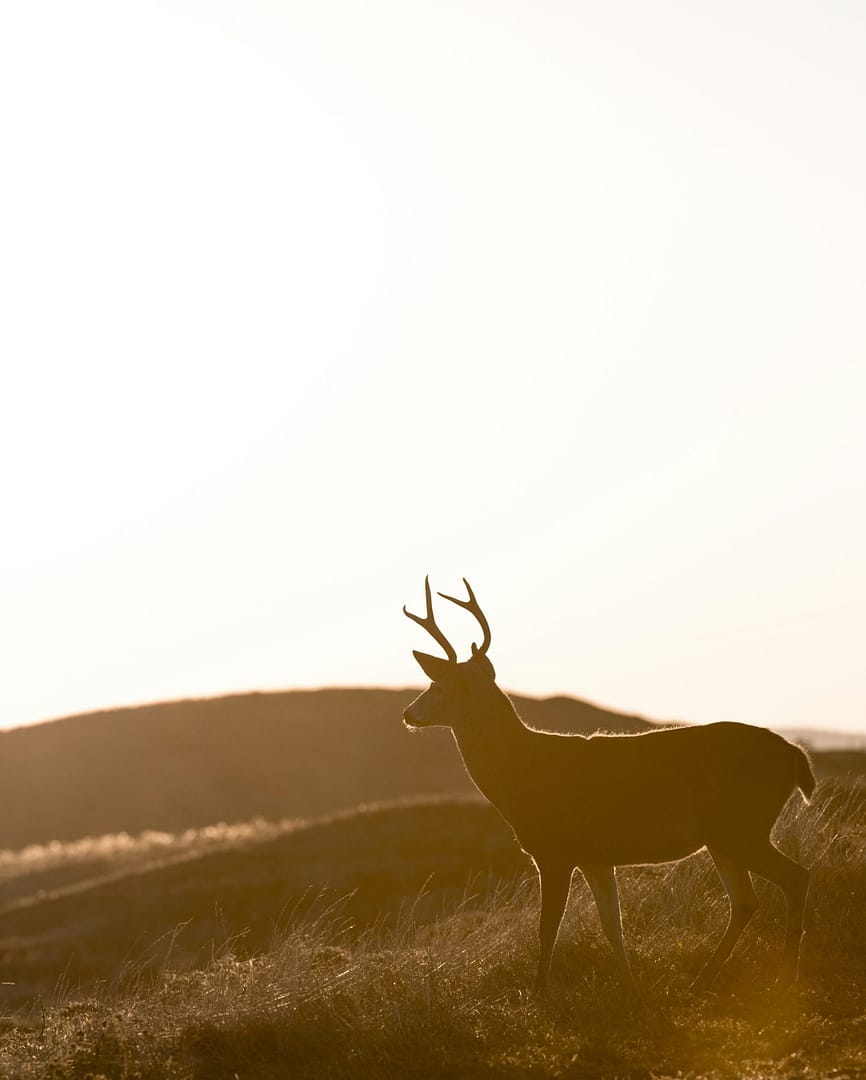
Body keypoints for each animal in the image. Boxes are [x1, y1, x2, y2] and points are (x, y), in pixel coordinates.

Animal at [402, 577, 814, 994]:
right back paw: (702, 980)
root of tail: (795, 755)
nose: (407, 713)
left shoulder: (555, 850)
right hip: (724, 836)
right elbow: (612, 925)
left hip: (742, 826)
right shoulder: (596, 857)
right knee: (746, 901)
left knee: (796, 878)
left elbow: (547, 928)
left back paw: (785, 978)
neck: (522, 771)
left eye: (437, 685)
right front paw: (630, 987)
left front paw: (539, 993)